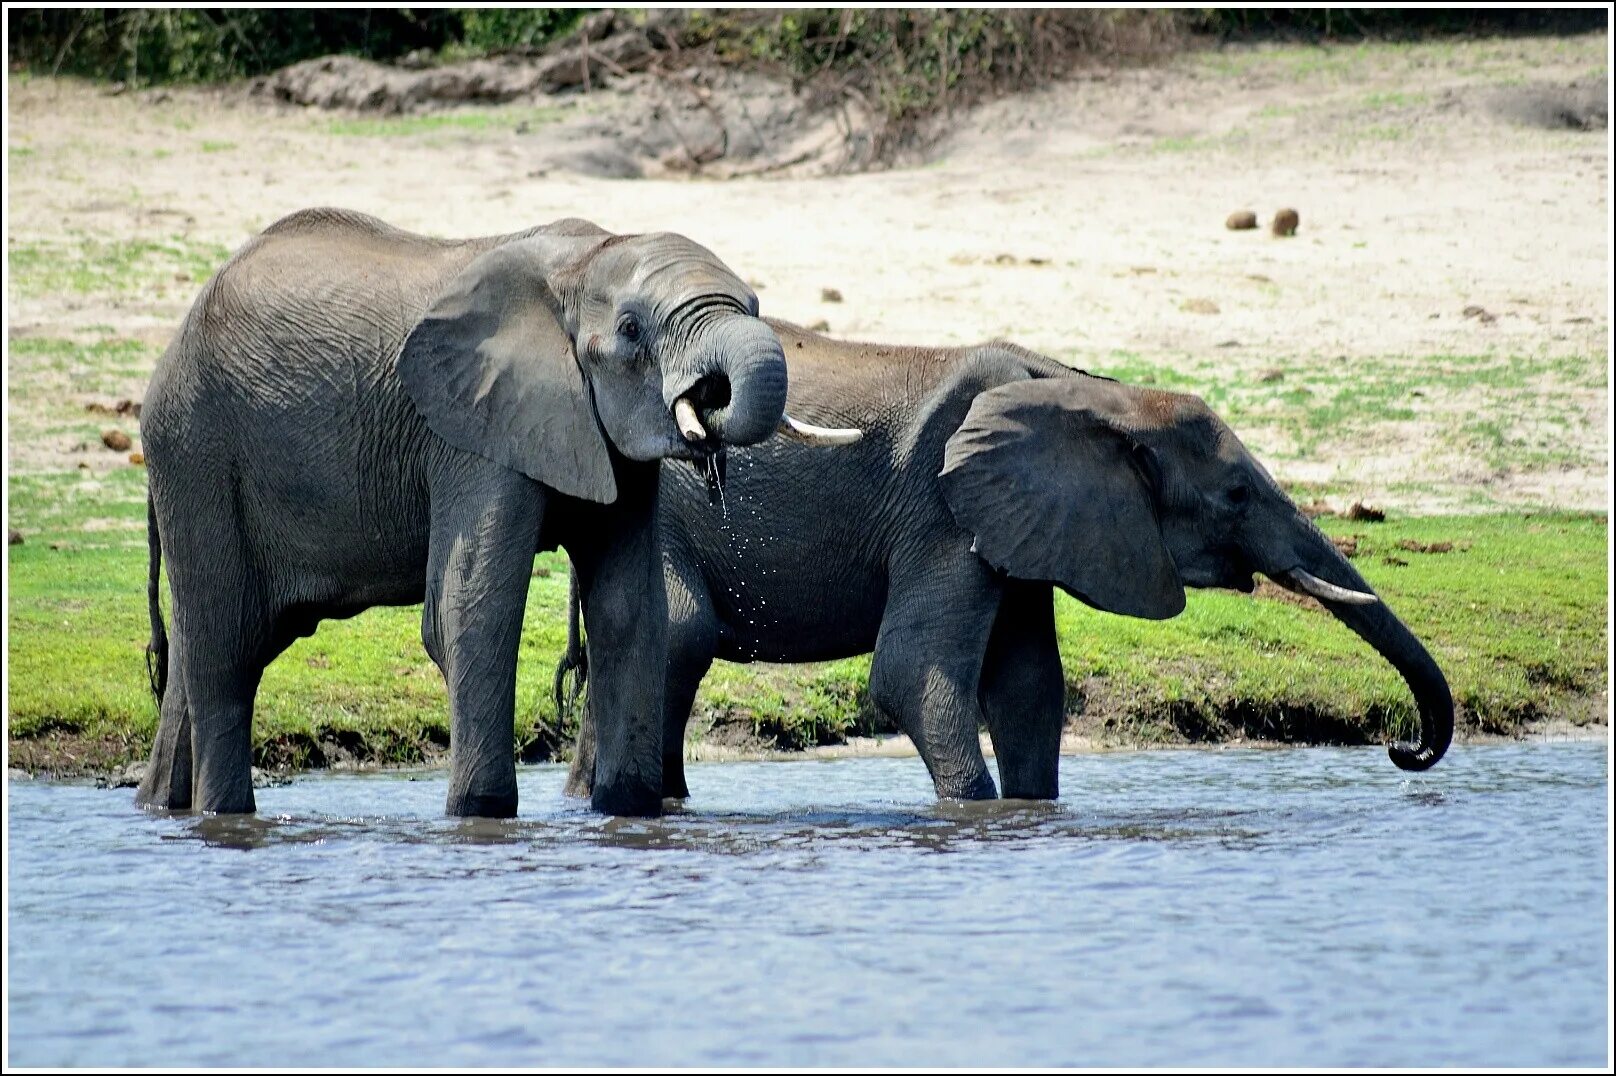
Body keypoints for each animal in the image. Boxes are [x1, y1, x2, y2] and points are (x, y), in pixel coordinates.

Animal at [135, 206, 859, 814]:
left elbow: (631, 610)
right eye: (631, 331)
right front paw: (480, 813)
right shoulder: (470, 431)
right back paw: (223, 813)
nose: (710, 394)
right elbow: (473, 606)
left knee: (205, 653)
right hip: (196, 449)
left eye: (755, 306)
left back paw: (162, 808)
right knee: (226, 652)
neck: (584, 260)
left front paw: (627, 810)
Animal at [562, 323, 1460, 801]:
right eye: (1236, 495)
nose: (1403, 748)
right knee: (679, 639)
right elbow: (913, 673)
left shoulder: (1024, 524)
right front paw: (975, 811)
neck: (1097, 394)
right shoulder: (940, 507)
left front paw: (1030, 814)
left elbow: (1030, 689)